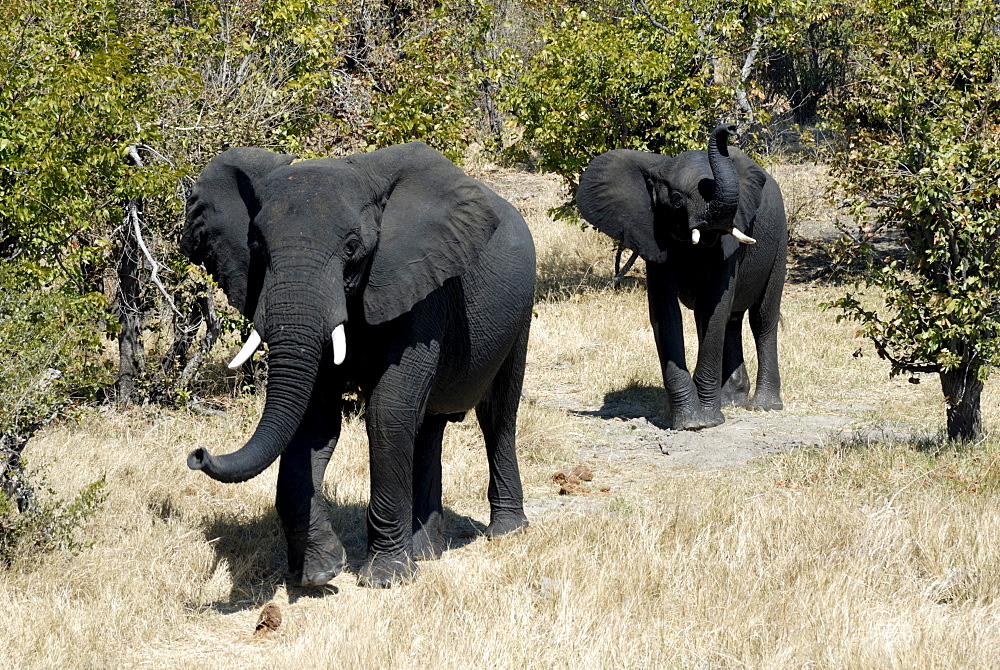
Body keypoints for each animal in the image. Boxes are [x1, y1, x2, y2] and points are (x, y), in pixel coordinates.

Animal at [183, 140, 536, 588]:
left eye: (352, 247)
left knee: (498, 414)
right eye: (258, 246)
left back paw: (506, 533)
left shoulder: (419, 285)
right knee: (429, 426)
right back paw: (427, 551)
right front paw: (320, 571)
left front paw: (386, 579)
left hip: (521, 309)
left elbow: (387, 413)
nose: (197, 454)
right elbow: (314, 420)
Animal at [576, 124, 784, 430]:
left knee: (762, 318)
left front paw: (709, 421)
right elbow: (666, 312)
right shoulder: (652, 235)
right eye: (676, 201)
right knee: (729, 320)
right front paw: (691, 423)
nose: (729, 128)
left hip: (780, 242)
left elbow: (715, 307)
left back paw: (764, 406)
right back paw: (732, 400)